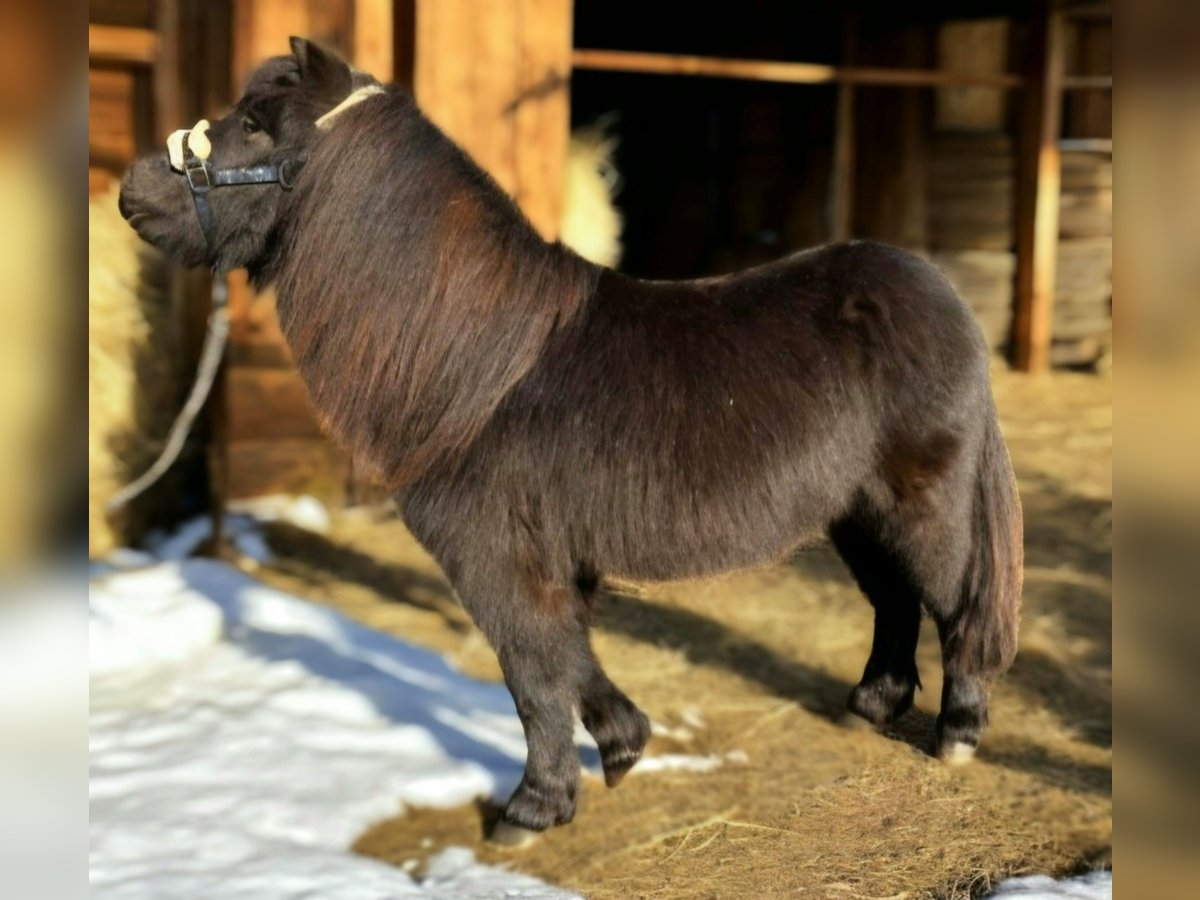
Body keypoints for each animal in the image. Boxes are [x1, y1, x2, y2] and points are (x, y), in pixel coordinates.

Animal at [119, 40, 1022, 844]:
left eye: (256, 126)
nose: (131, 190)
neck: (482, 368)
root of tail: (939, 295)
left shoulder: (495, 560)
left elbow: (533, 672)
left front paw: (534, 808)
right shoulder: (541, 565)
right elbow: (568, 655)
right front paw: (623, 745)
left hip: (923, 508)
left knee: (955, 604)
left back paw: (957, 734)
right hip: (855, 516)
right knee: (895, 603)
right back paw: (870, 708)